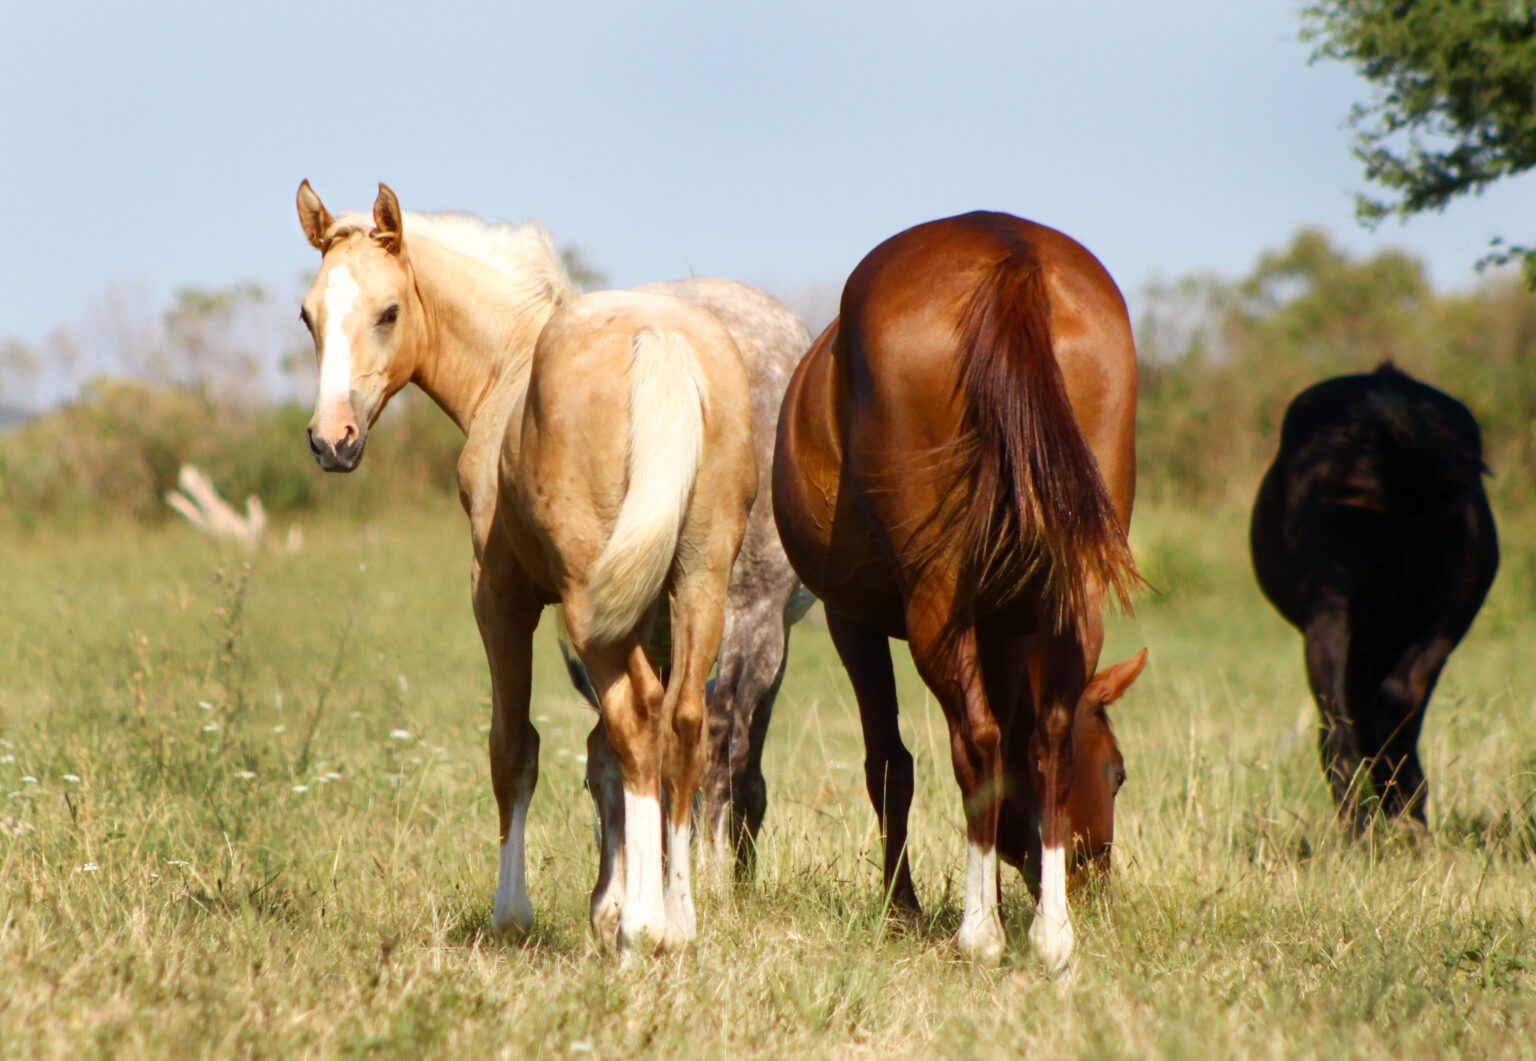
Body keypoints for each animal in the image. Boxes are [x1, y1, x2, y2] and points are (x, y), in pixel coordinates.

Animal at [295, 181, 760, 950]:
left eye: (389, 312)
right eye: (309, 315)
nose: (333, 441)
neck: (507, 363)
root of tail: (658, 339)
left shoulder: (500, 597)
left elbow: (515, 747)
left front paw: (516, 913)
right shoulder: (650, 603)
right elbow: (610, 751)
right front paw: (612, 902)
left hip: (589, 600)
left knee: (636, 714)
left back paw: (644, 930)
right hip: (699, 580)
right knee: (683, 720)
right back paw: (679, 921)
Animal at [772, 211, 1146, 974]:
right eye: (1119, 772)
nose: (1097, 882)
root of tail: (1010, 251)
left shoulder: (852, 619)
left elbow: (891, 762)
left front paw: (906, 909)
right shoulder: (1000, 629)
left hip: (934, 601)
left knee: (972, 740)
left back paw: (980, 933)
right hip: (1073, 593)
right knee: (1043, 740)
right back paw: (1049, 931)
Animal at [1250, 362, 1498, 835]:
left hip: (1334, 614)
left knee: (1343, 729)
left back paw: (1370, 824)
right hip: (1436, 611)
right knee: (1383, 705)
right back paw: (1392, 813)